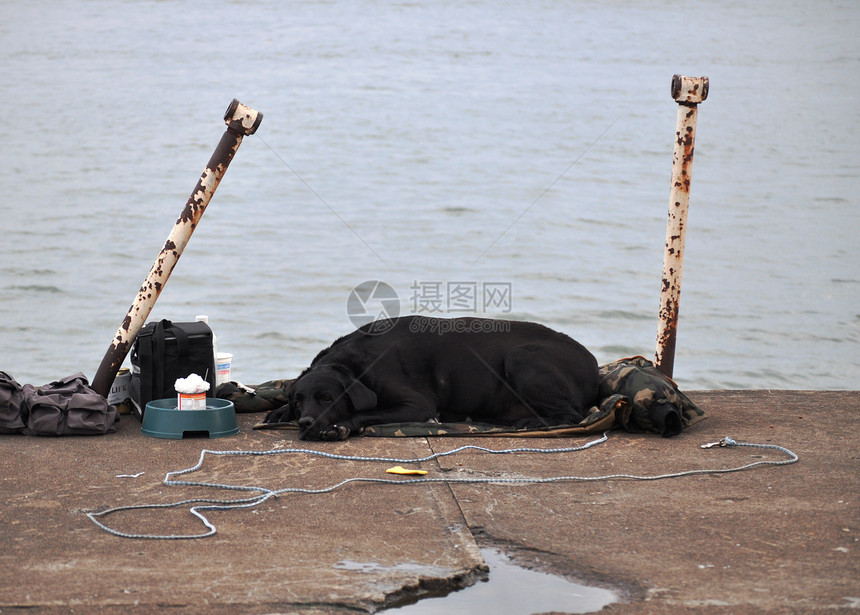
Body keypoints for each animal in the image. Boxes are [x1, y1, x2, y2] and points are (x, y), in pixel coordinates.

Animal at [262, 316, 596, 440]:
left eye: (327, 398)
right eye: (298, 401)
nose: (305, 423)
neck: (354, 365)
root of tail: (593, 364)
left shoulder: (416, 406)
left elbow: (366, 412)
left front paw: (341, 425)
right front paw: (279, 412)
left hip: (522, 358)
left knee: (571, 415)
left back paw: (530, 423)